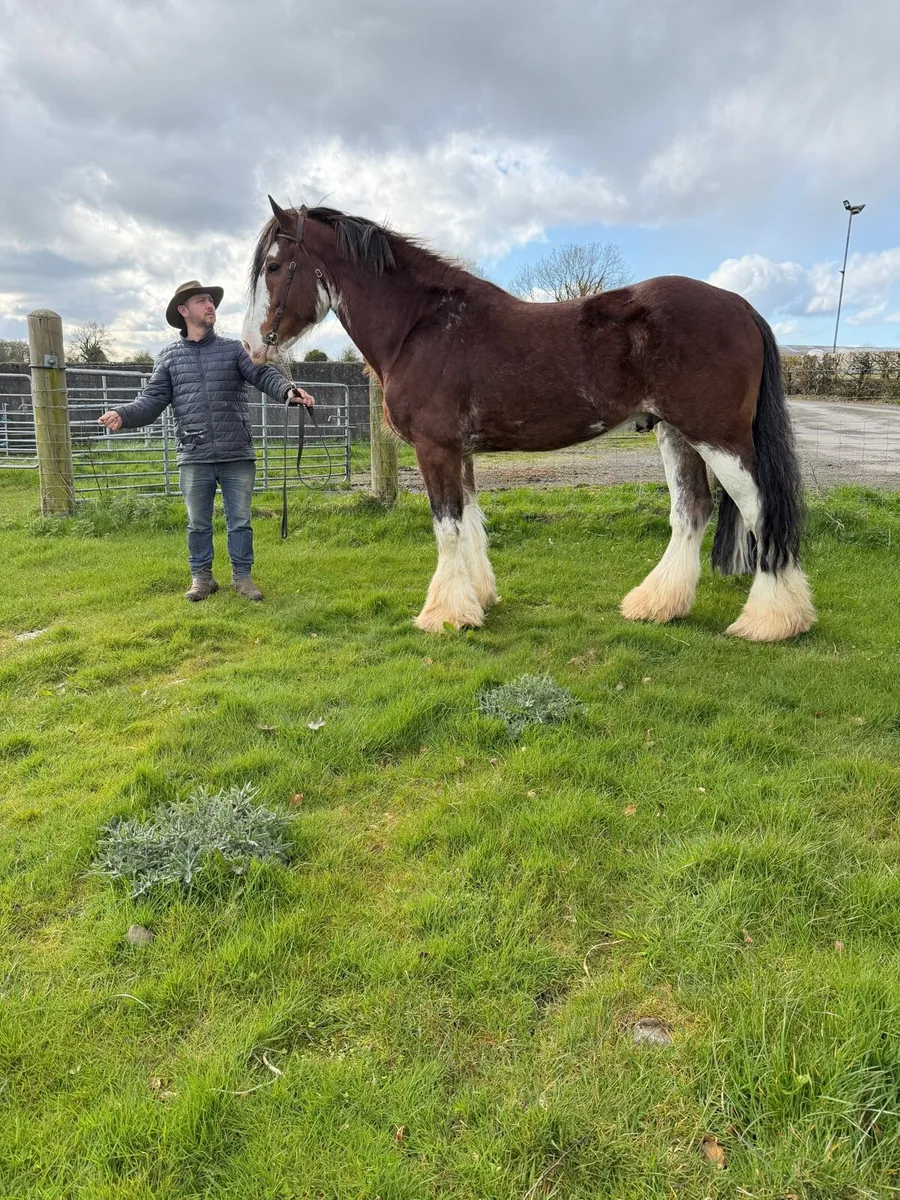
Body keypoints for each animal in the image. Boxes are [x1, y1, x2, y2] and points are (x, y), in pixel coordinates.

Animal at [243, 198, 816, 642]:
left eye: (273, 266)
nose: (251, 346)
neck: (422, 326)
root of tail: (739, 304)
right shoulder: (459, 450)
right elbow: (470, 521)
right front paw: (478, 598)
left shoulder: (435, 448)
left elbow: (447, 527)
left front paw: (444, 615)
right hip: (677, 434)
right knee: (691, 509)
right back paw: (659, 605)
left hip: (718, 438)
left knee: (761, 509)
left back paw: (772, 621)